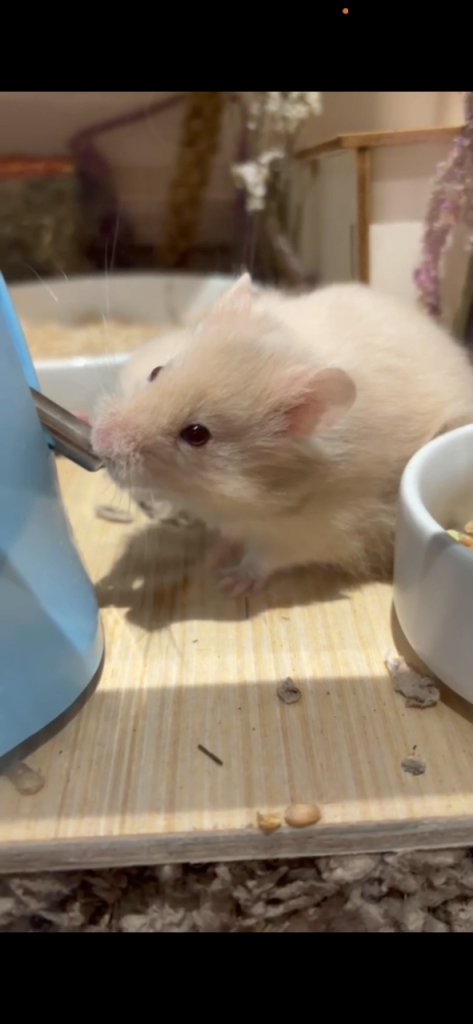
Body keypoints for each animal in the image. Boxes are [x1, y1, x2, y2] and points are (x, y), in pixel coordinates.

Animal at [92, 273, 473, 596]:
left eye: (197, 434)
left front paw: (227, 583)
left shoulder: (316, 531)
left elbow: (263, 558)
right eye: (157, 372)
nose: (100, 442)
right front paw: (213, 557)